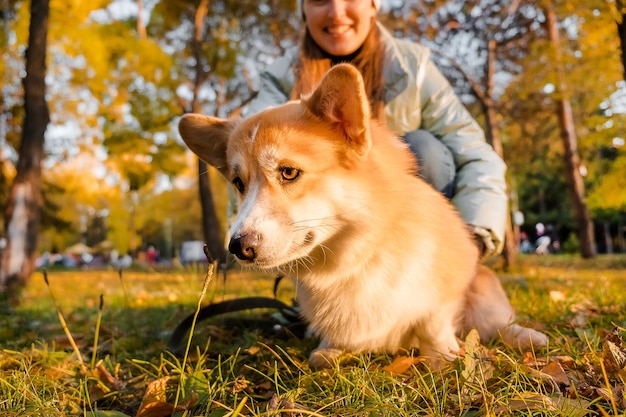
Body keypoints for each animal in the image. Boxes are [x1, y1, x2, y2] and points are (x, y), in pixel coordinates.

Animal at [177, 63, 544, 366]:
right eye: (239, 183)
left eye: (289, 172)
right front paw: (329, 349)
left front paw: (442, 356)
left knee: (496, 323)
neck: (353, 256)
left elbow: (434, 323)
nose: (238, 247)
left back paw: (528, 336)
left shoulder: (444, 290)